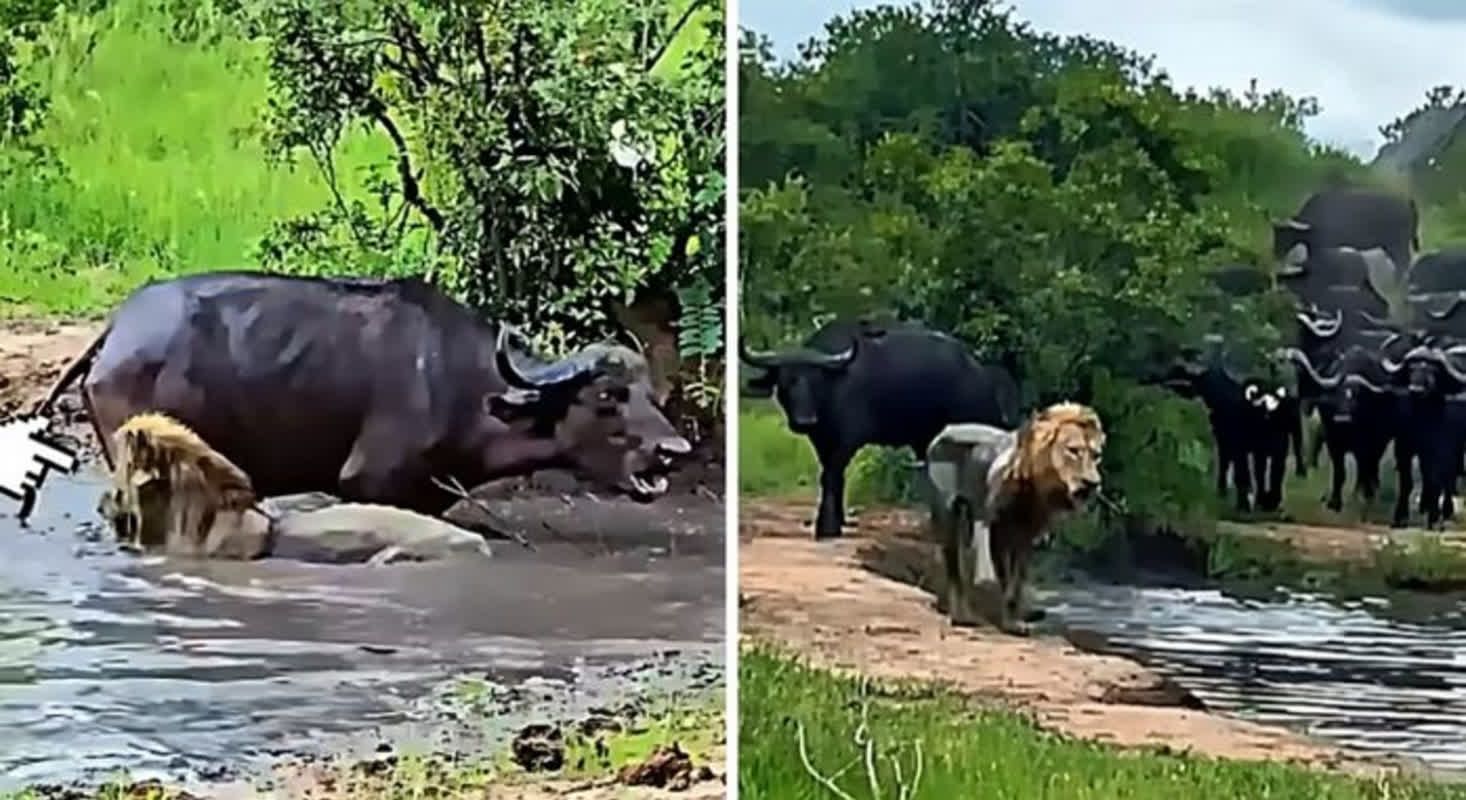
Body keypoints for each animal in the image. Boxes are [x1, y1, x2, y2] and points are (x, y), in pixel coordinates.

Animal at [36, 272, 692, 515]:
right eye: (607, 396)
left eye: (650, 393)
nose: (674, 452)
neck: (464, 386)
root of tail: (117, 330)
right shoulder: (372, 484)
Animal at [740, 319, 1020, 539]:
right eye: (785, 381)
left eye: (815, 380)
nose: (804, 420)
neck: (832, 390)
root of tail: (983, 376)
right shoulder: (821, 439)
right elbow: (830, 476)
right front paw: (837, 520)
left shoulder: (847, 439)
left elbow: (831, 474)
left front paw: (827, 526)